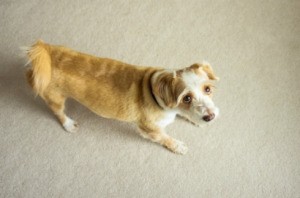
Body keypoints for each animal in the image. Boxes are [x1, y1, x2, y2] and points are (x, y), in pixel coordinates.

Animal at [24, 40, 220, 155]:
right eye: (186, 98)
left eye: (208, 89)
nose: (210, 117)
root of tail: (44, 53)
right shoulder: (150, 130)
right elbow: (166, 138)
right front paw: (178, 146)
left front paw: (196, 120)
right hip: (56, 99)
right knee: (58, 113)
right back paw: (68, 124)